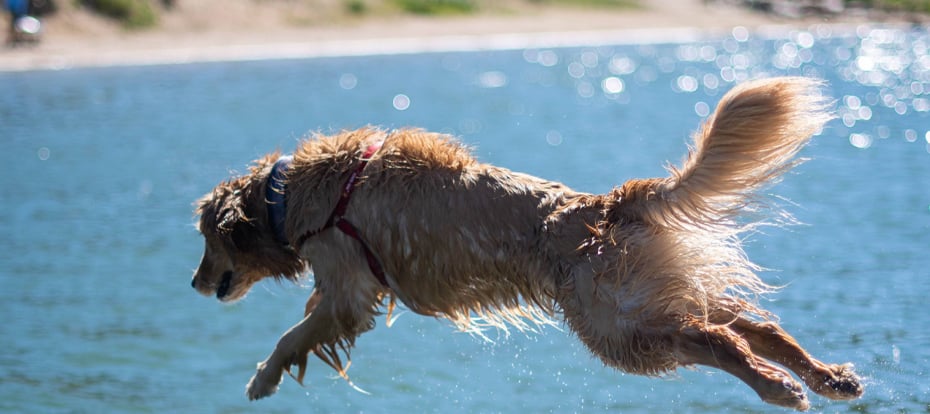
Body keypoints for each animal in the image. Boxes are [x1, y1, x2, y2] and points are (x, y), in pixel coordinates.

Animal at [190, 77, 864, 410]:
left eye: (204, 241)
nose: (194, 284)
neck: (289, 196)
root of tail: (610, 203)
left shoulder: (346, 289)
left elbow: (292, 336)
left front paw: (262, 380)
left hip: (617, 325)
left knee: (719, 340)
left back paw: (780, 388)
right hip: (651, 294)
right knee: (755, 326)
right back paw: (829, 377)